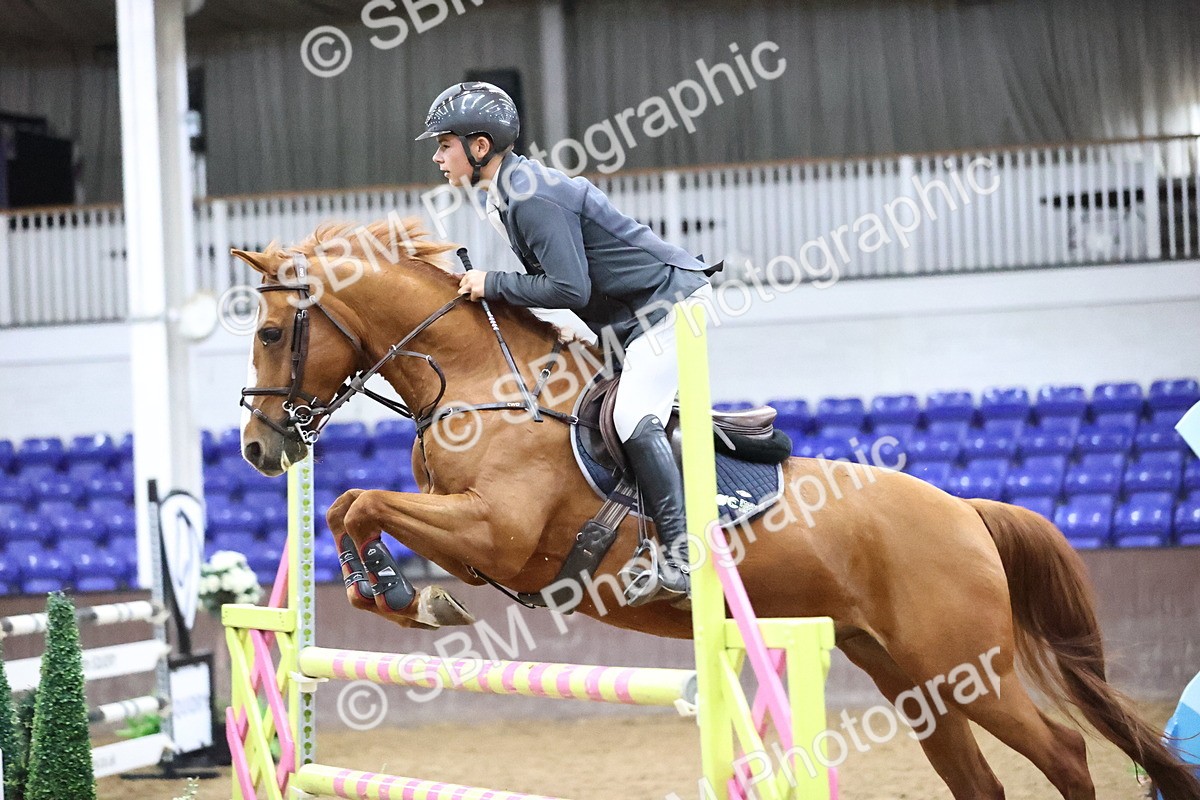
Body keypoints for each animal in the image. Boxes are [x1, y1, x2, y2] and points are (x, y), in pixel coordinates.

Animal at [233, 218, 1200, 800]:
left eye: (273, 333)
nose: (258, 448)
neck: (483, 384)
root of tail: (965, 510)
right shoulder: (465, 530)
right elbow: (348, 507)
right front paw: (392, 594)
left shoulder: (496, 535)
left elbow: (360, 502)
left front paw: (409, 597)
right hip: (913, 676)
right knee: (982, 780)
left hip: (972, 666)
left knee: (1065, 752)